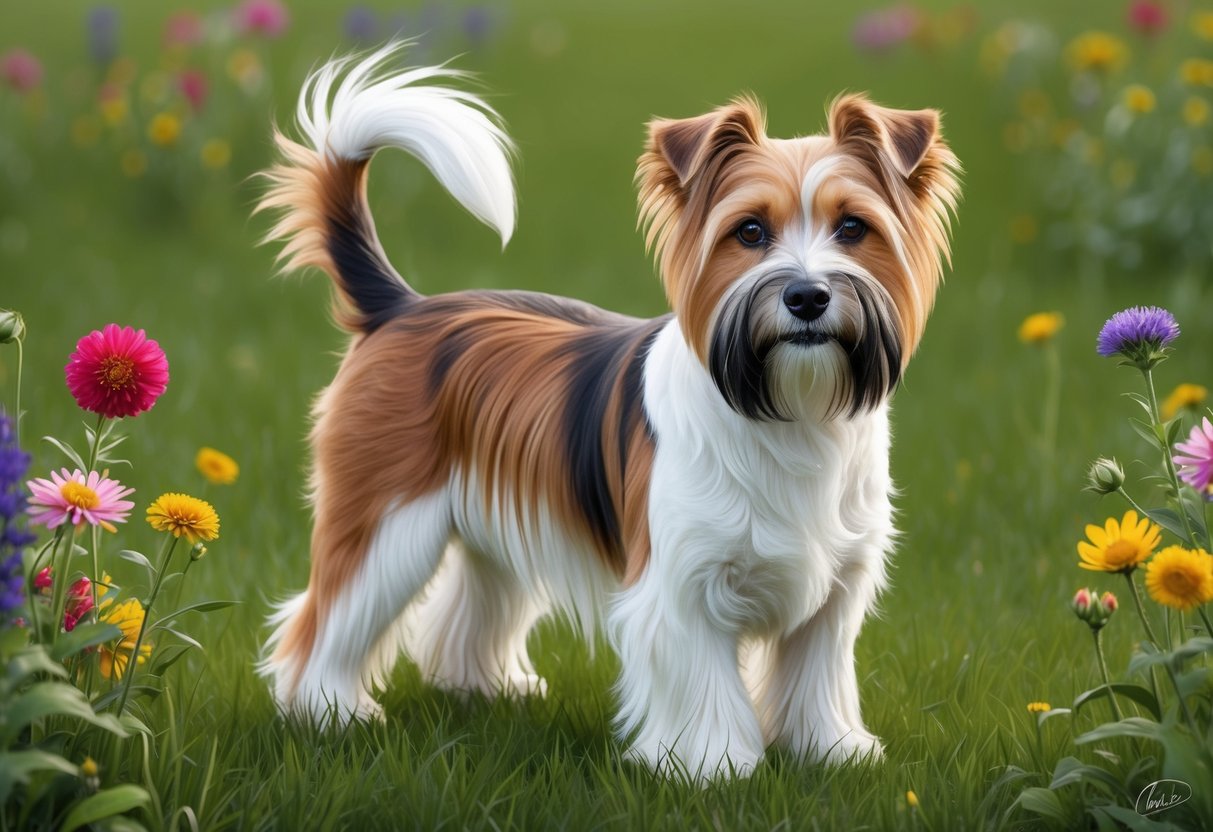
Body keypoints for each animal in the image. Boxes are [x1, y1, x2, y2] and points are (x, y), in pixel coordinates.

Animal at [255, 42, 955, 781]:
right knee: (326, 618)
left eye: (853, 227)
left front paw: (831, 753)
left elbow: (816, 677)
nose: (807, 296)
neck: (788, 412)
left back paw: (485, 687)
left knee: (474, 599)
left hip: (489, 515)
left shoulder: (834, 590)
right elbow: (706, 682)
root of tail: (400, 306)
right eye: (749, 232)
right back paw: (330, 711)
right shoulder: (681, 586)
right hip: (387, 522)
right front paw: (714, 767)